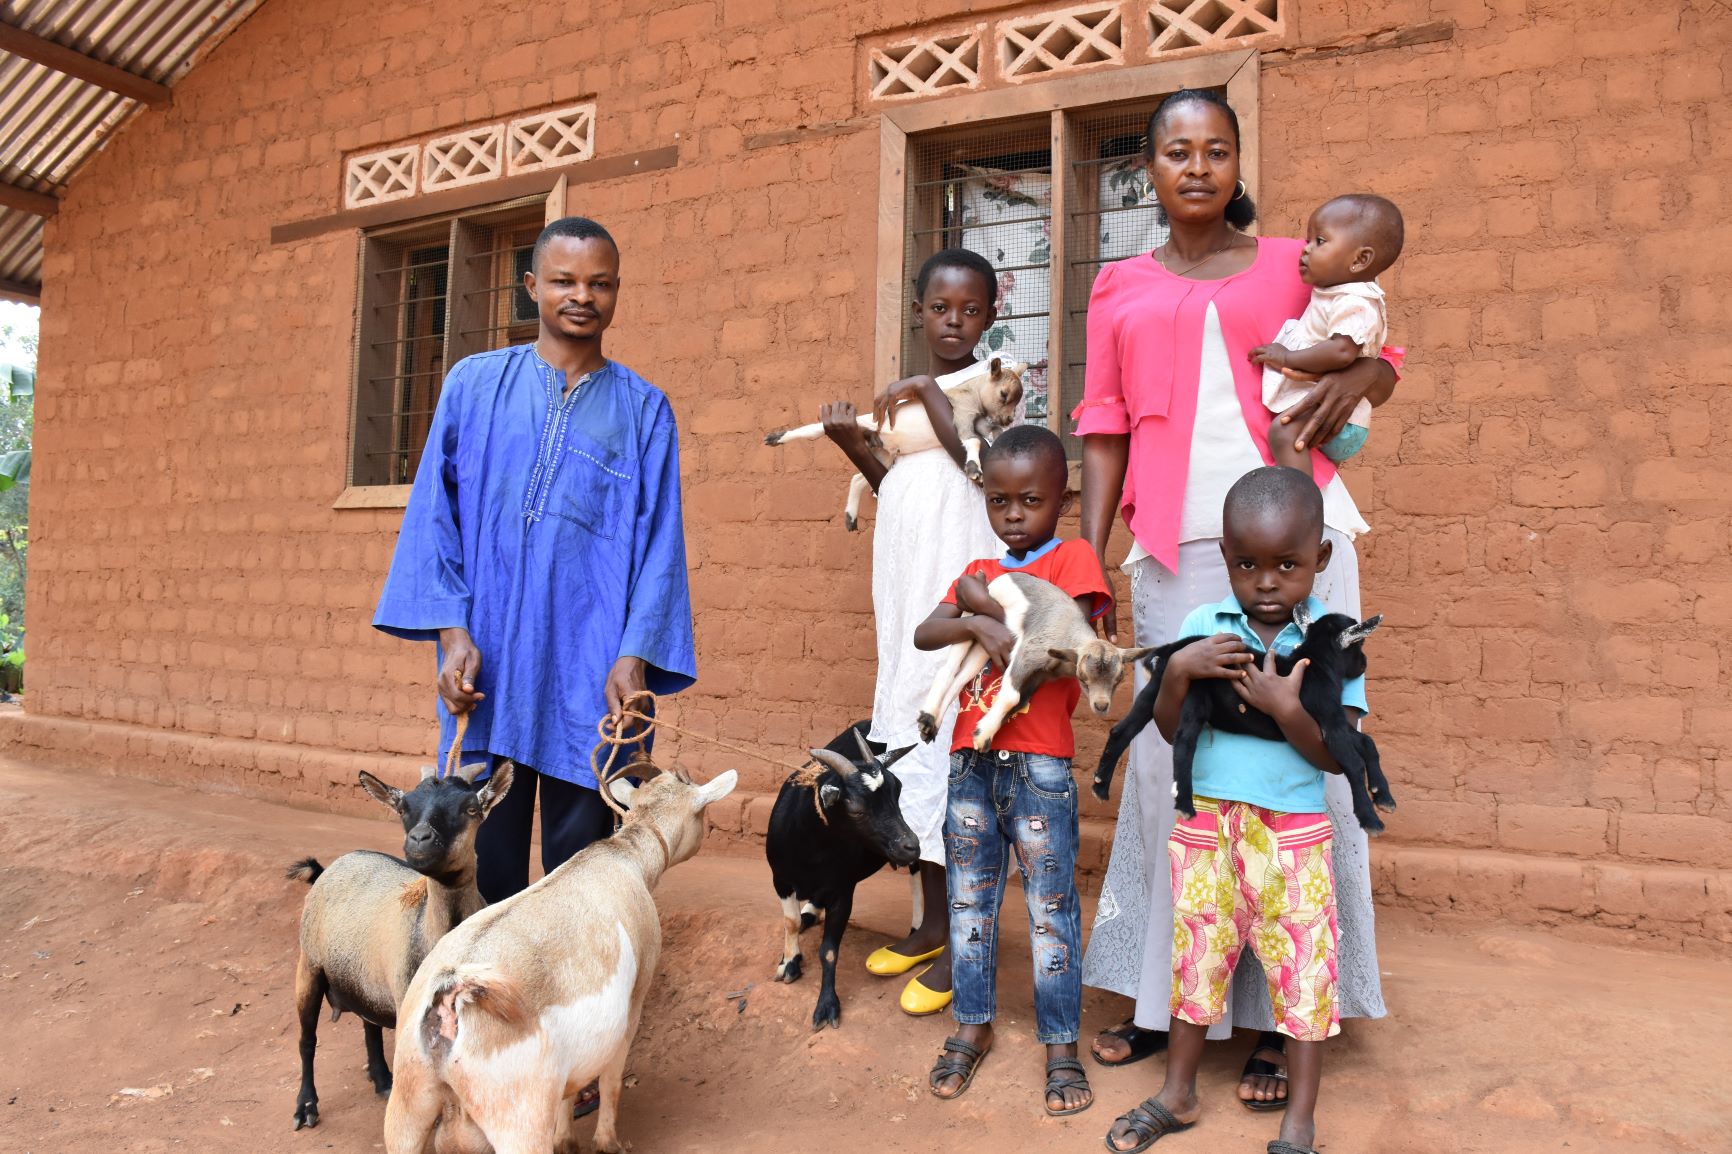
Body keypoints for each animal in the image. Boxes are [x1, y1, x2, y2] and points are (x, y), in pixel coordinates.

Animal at [382, 762, 734, 1150]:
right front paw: (607, 1142)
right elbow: (611, 1082)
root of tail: (450, 994)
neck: (623, 855)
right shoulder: (634, 1004)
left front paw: (566, 1140)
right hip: (519, 1119)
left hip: (407, 1107)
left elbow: (569, 1092)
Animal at [762, 355, 1025, 530]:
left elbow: (988, 434)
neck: (972, 392)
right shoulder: (961, 418)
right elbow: (973, 442)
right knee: (814, 430)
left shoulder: (979, 423)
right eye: (1004, 395)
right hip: (864, 425)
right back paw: (777, 437)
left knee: (858, 478)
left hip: (885, 454)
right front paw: (973, 468)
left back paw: (850, 516)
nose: (1009, 419)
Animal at [762, 724, 914, 1025]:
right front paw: (789, 963)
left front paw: (826, 1004)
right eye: (855, 808)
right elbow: (791, 923)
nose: (911, 845)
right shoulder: (781, 879)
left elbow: (829, 951)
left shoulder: (843, 890)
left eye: (898, 792)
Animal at [1094, 606, 1392, 831]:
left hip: (1158, 688)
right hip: (1196, 689)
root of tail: (1173, 648)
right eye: (1360, 644)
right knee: (1184, 741)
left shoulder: (1330, 723)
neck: (1315, 664)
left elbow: (1366, 741)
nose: (1364, 665)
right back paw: (1184, 803)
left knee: (1123, 729)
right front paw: (1370, 818)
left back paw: (1100, 784)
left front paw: (1383, 794)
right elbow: (1353, 763)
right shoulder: (1329, 718)